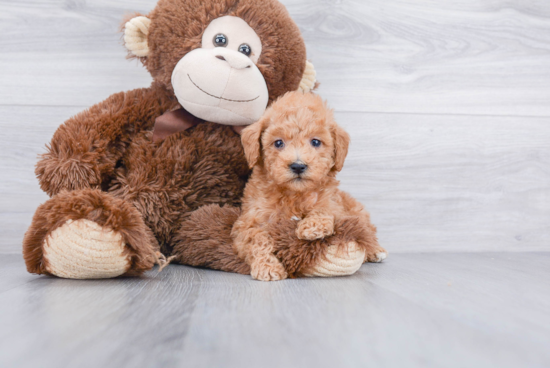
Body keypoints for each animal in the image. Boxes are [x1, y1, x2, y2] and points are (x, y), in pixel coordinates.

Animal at [233, 90, 388, 280]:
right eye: (278, 143)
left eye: (315, 142)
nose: (298, 166)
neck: (294, 194)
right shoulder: (249, 222)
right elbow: (256, 240)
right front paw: (267, 267)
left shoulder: (335, 205)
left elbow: (325, 209)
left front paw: (312, 226)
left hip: (357, 210)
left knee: (367, 230)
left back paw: (376, 250)